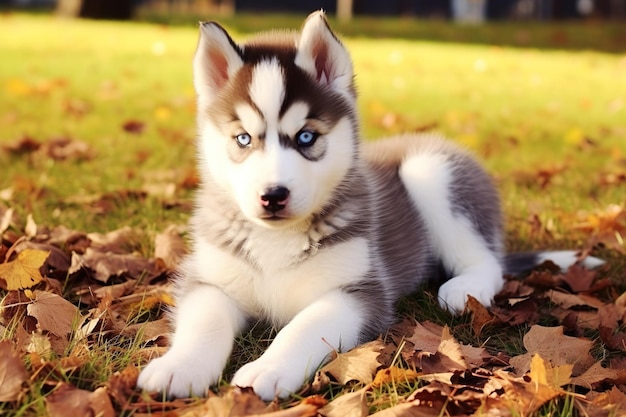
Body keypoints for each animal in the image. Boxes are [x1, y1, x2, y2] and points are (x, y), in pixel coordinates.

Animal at [138, 11, 600, 398]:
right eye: (243, 139)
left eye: (306, 137)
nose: (272, 195)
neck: (276, 239)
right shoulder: (209, 280)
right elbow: (205, 321)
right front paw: (180, 366)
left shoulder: (357, 291)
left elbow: (304, 326)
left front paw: (269, 368)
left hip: (430, 171)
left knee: (488, 263)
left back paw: (462, 288)